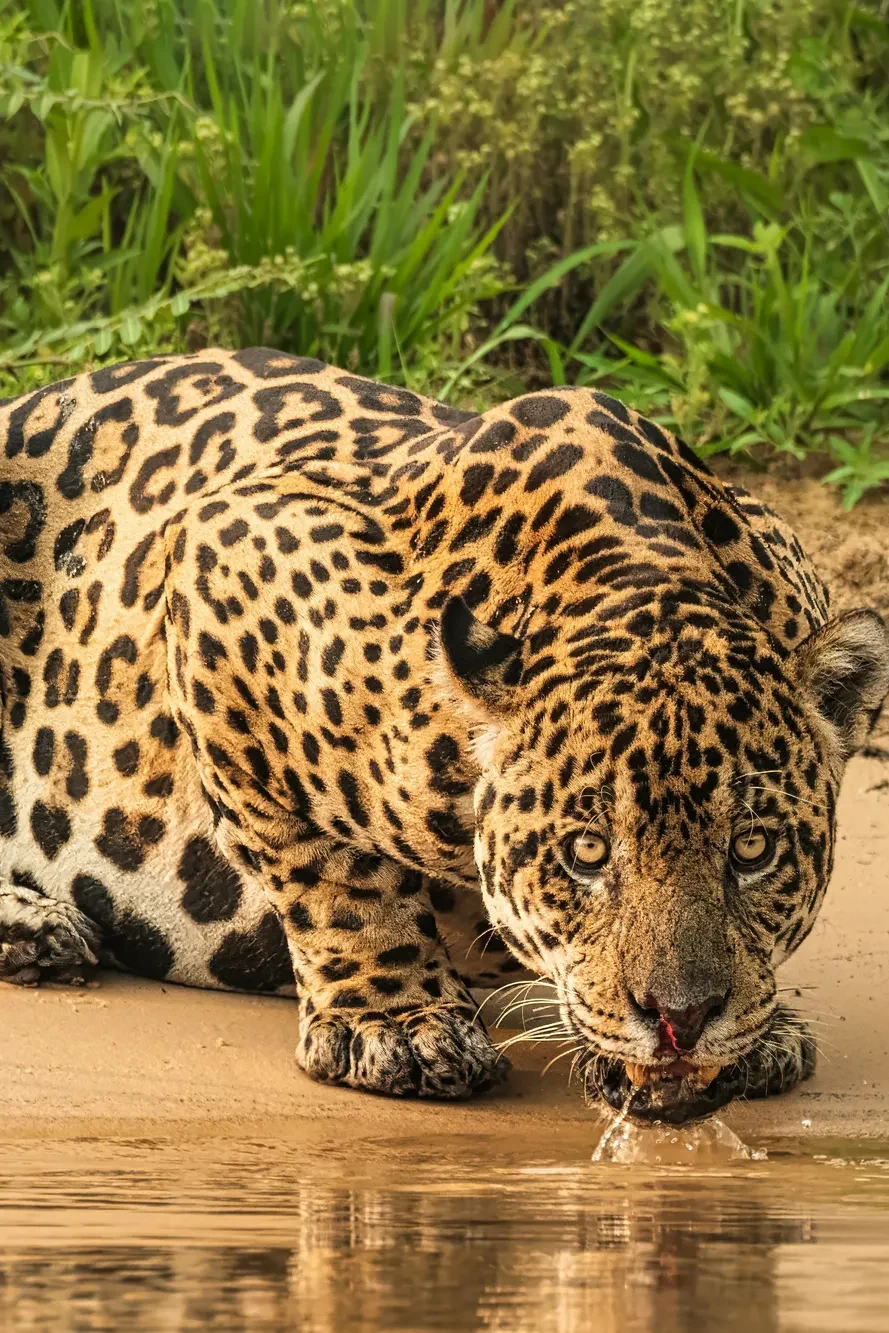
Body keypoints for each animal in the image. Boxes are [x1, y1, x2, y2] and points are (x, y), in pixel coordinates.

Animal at [2, 347, 887, 1123]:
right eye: (586, 853)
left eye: (752, 849)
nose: (681, 1018)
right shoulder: (225, 549)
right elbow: (327, 867)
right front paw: (394, 1022)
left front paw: (761, 1032)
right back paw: (34, 925)